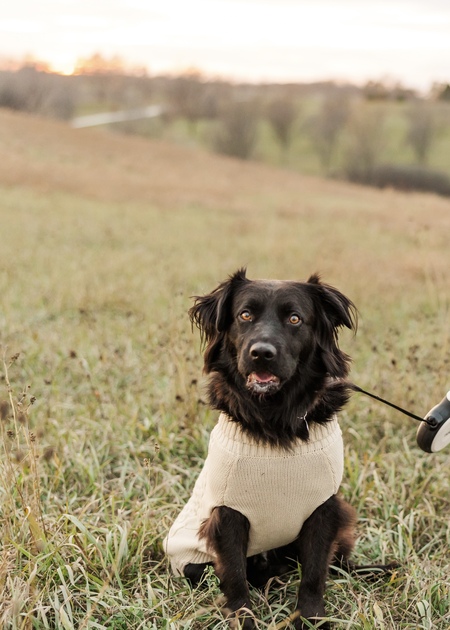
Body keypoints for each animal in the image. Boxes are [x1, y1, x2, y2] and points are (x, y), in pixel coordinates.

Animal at [165, 270, 394, 628]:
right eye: (245, 315)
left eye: (295, 319)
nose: (262, 353)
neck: (275, 417)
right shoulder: (228, 516)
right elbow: (234, 576)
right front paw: (242, 619)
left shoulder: (324, 509)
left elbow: (314, 572)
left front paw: (311, 619)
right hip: (192, 562)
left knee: (337, 563)